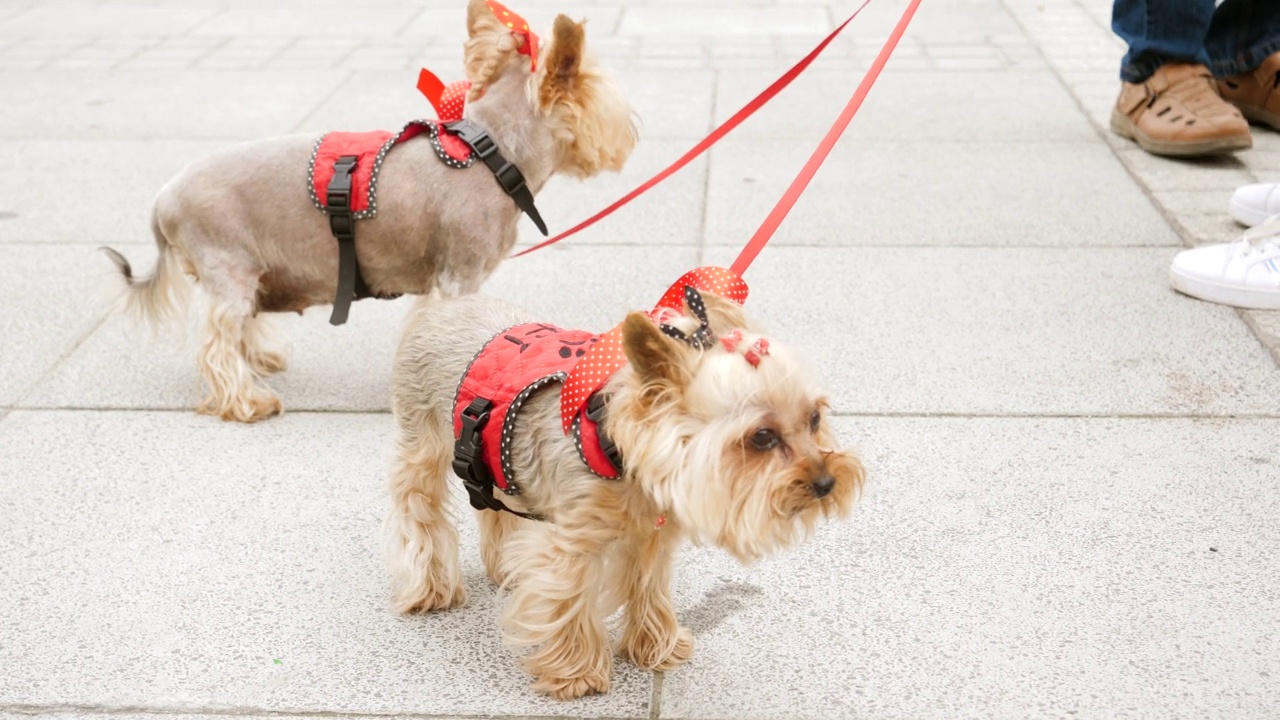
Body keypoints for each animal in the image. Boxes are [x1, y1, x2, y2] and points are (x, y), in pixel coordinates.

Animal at [102, 0, 637, 422]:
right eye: (602, 93)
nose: (632, 130)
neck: (492, 151)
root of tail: (163, 198)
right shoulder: (458, 277)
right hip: (227, 263)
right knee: (217, 342)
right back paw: (247, 401)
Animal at [384, 278, 865, 696]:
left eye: (815, 418)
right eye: (762, 437)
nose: (826, 482)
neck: (622, 451)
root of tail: (444, 300)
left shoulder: (653, 535)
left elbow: (649, 586)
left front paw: (656, 647)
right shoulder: (572, 541)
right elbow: (570, 597)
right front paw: (577, 674)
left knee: (492, 501)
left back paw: (504, 566)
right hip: (424, 437)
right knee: (418, 505)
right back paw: (431, 588)